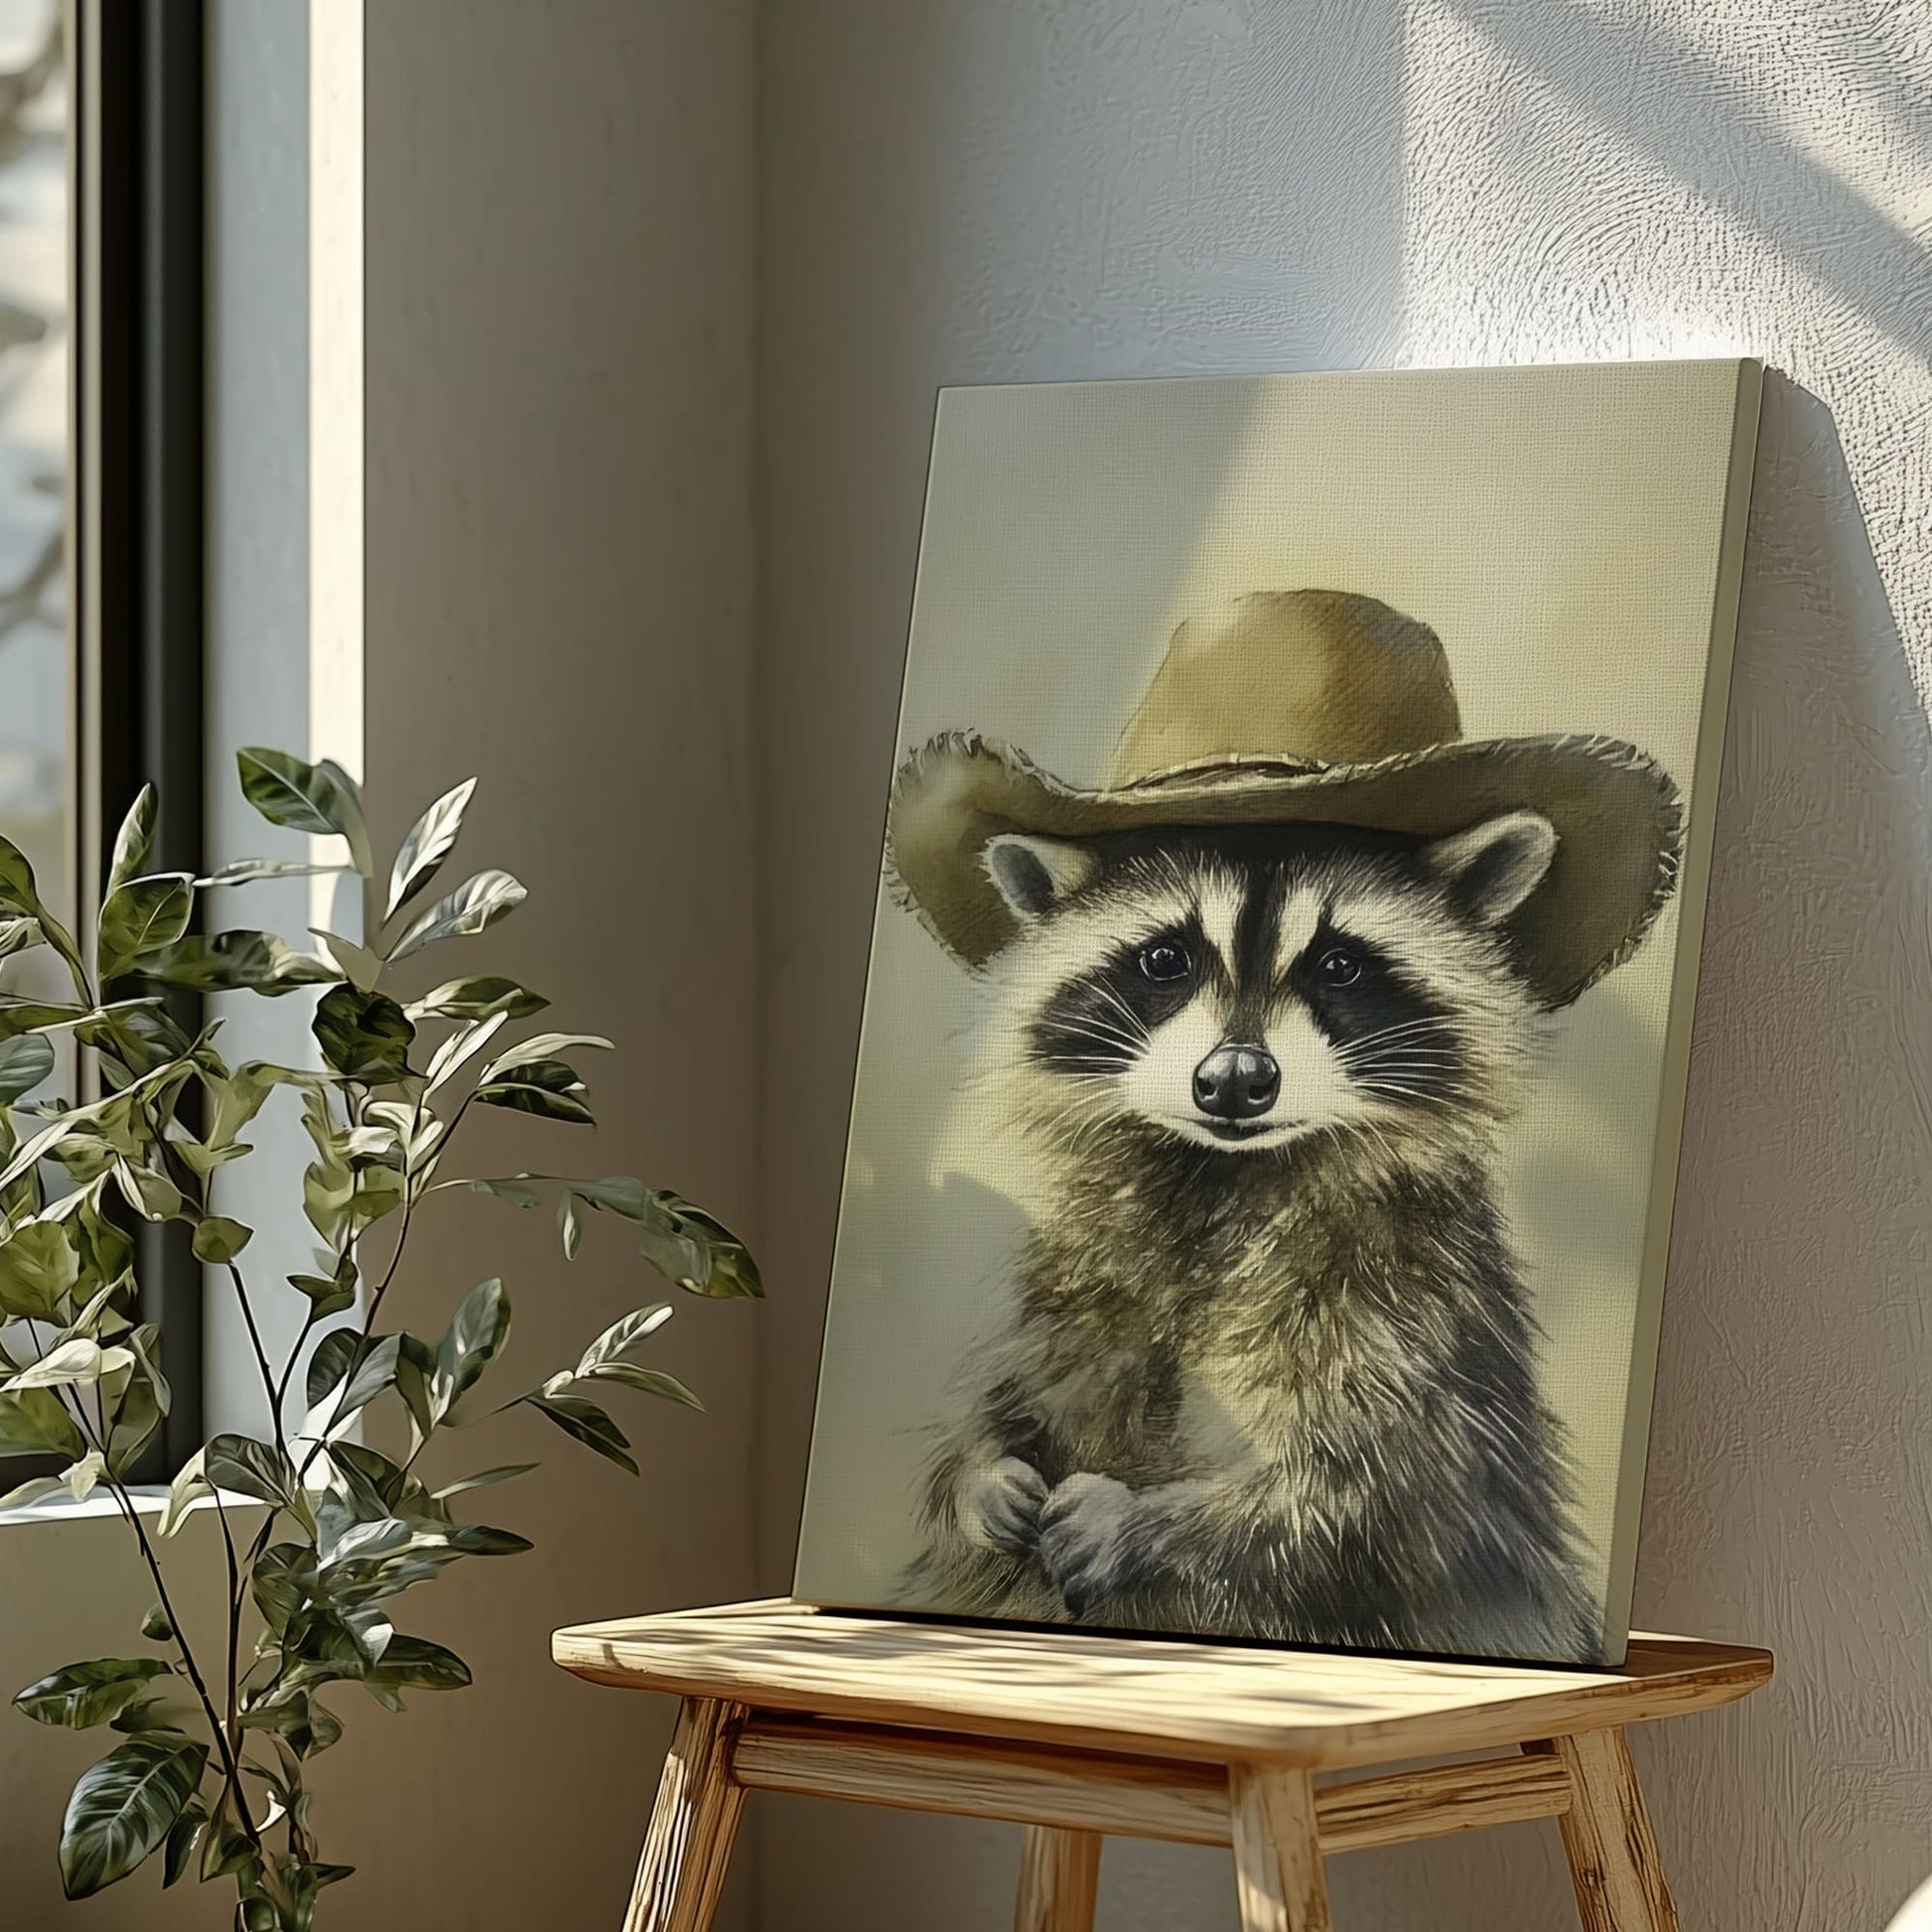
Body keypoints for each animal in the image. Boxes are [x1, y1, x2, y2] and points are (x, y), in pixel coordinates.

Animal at [905, 811, 1601, 1663]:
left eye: (1340, 965)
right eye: (1165, 958)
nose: (1235, 1078)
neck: (1219, 1175)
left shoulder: (1413, 1308)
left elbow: (1376, 1507)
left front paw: (1145, 1523)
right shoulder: (1078, 1270)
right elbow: (1015, 1391)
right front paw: (977, 1469)